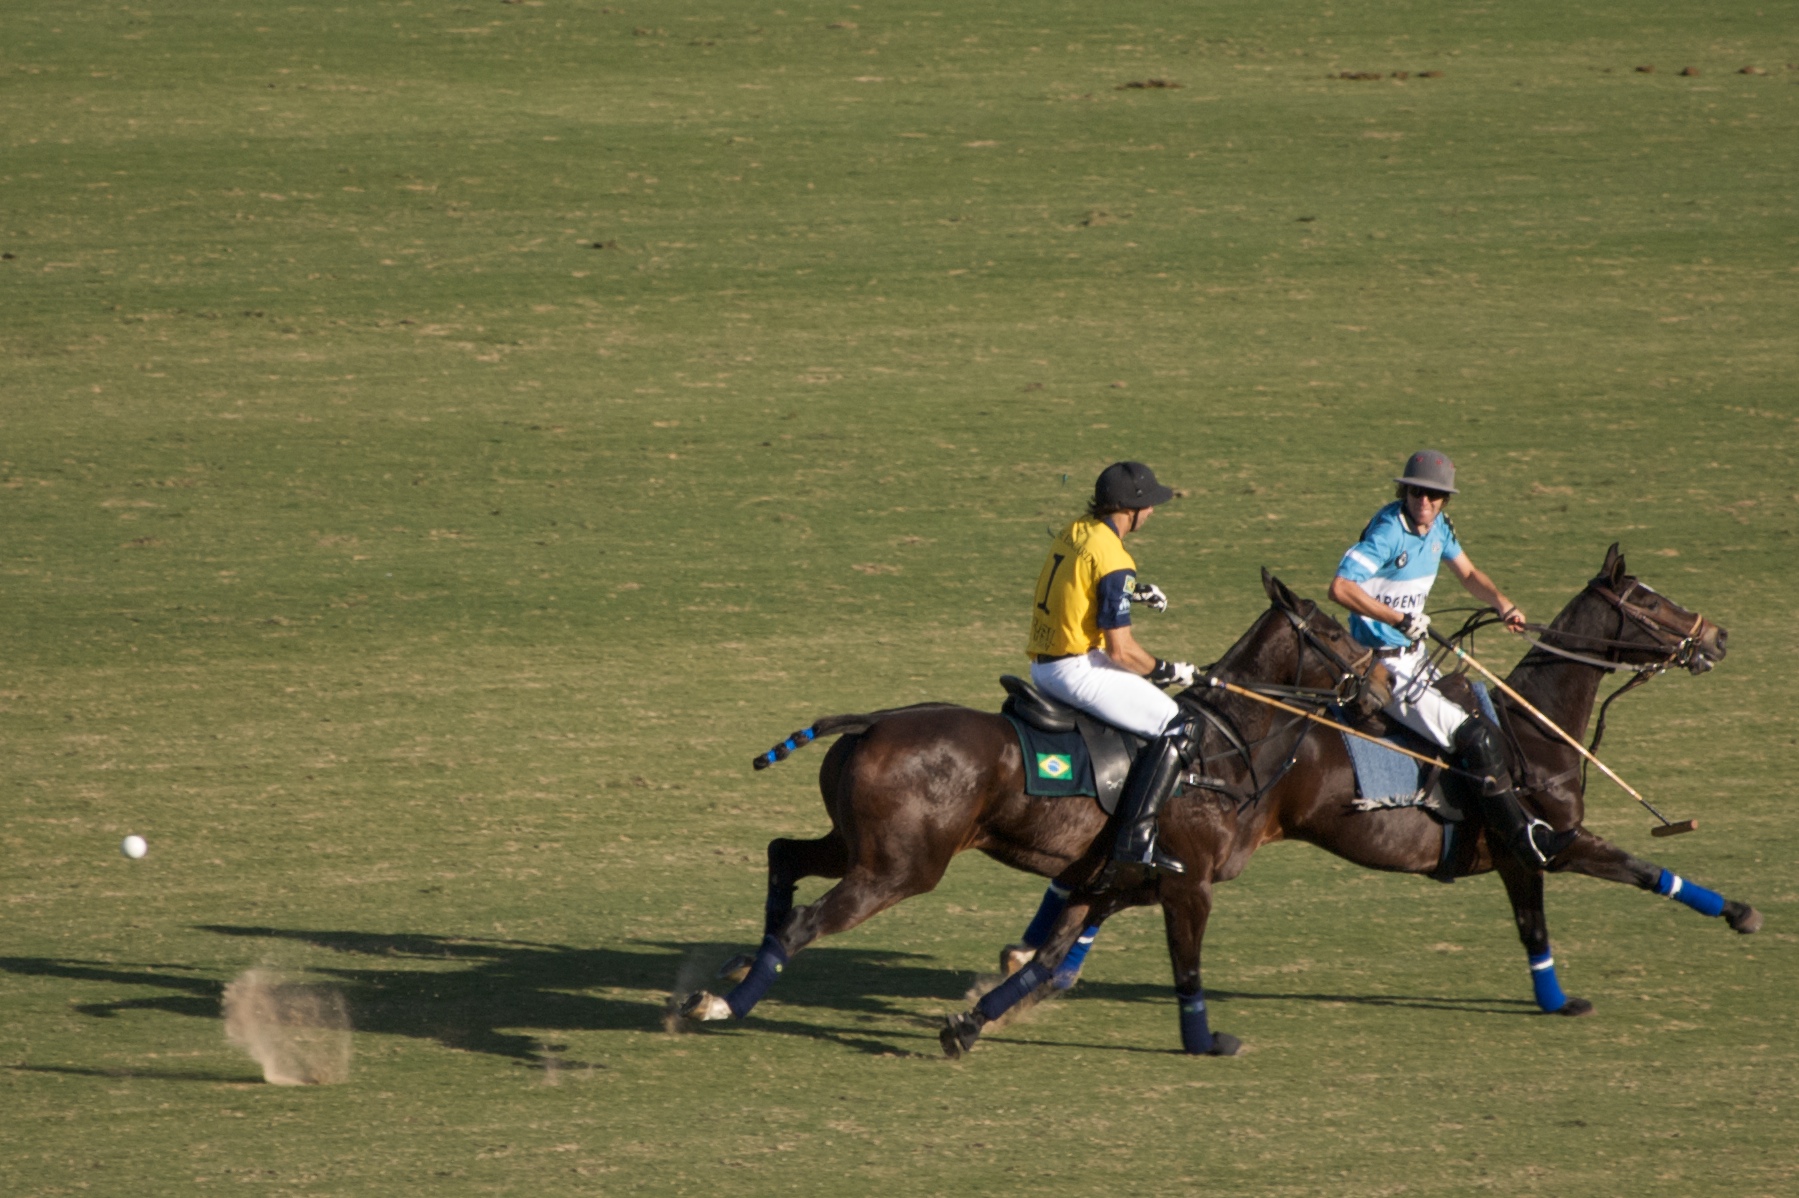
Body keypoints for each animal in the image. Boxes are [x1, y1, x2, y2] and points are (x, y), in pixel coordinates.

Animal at [676, 575, 1374, 1021]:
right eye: (1338, 635)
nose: (1379, 689)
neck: (1223, 745)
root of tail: (872, 721)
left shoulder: (1108, 880)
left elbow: (1057, 947)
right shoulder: (1182, 880)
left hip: (856, 846)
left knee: (784, 855)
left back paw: (738, 968)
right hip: (899, 867)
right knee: (806, 919)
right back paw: (724, 1003)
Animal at [949, 543, 1763, 1057]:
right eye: (1649, 599)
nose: (1718, 636)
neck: (1532, 730)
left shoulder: (1515, 856)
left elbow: (1549, 920)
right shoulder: (1540, 842)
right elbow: (1630, 874)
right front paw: (1737, 913)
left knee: (1106, 886)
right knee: (1113, 884)